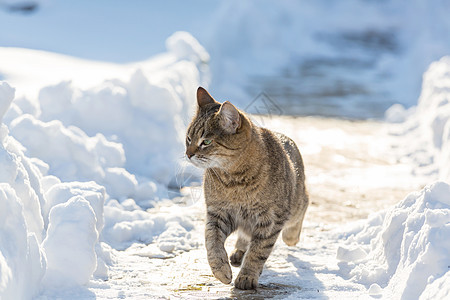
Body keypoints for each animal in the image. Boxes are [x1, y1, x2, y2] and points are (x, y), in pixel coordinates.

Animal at [185, 87, 310, 290]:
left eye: (206, 142)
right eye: (188, 139)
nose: (188, 154)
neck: (233, 182)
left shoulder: (271, 219)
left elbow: (258, 251)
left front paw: (247, 276)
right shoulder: (217, 213)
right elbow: (211, 242)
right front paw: (220, 269)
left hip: (295, 205)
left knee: (304, 206)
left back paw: (290, 236)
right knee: (245, 235)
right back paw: (238, 251)